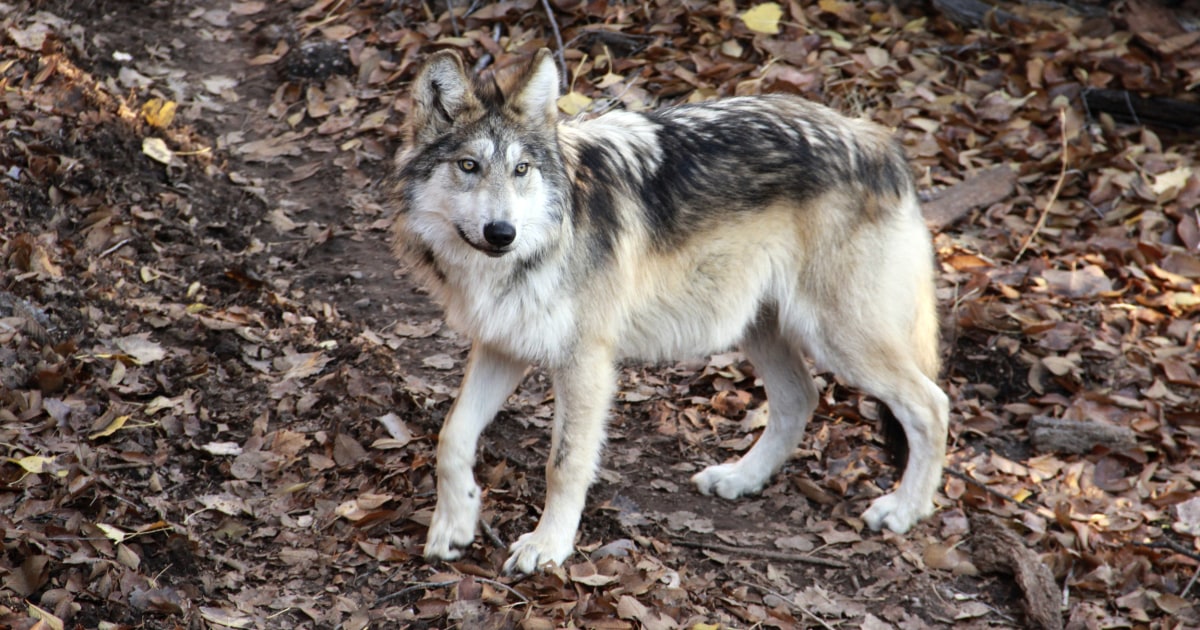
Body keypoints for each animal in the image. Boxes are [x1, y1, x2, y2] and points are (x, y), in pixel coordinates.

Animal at [388, 49, 950, 573]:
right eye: (469, 166)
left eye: (521, 170)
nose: (502, 233)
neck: (534, 247)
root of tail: (877, 139)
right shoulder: (502, 346)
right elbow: (451, 436)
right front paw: (454, 525)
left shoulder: (585, 362)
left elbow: (563, 464)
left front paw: (547, 547)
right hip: (761, 328)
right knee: (801, 398)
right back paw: (740, 479)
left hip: (837, 339)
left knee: (932, 404)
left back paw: (904, 511)